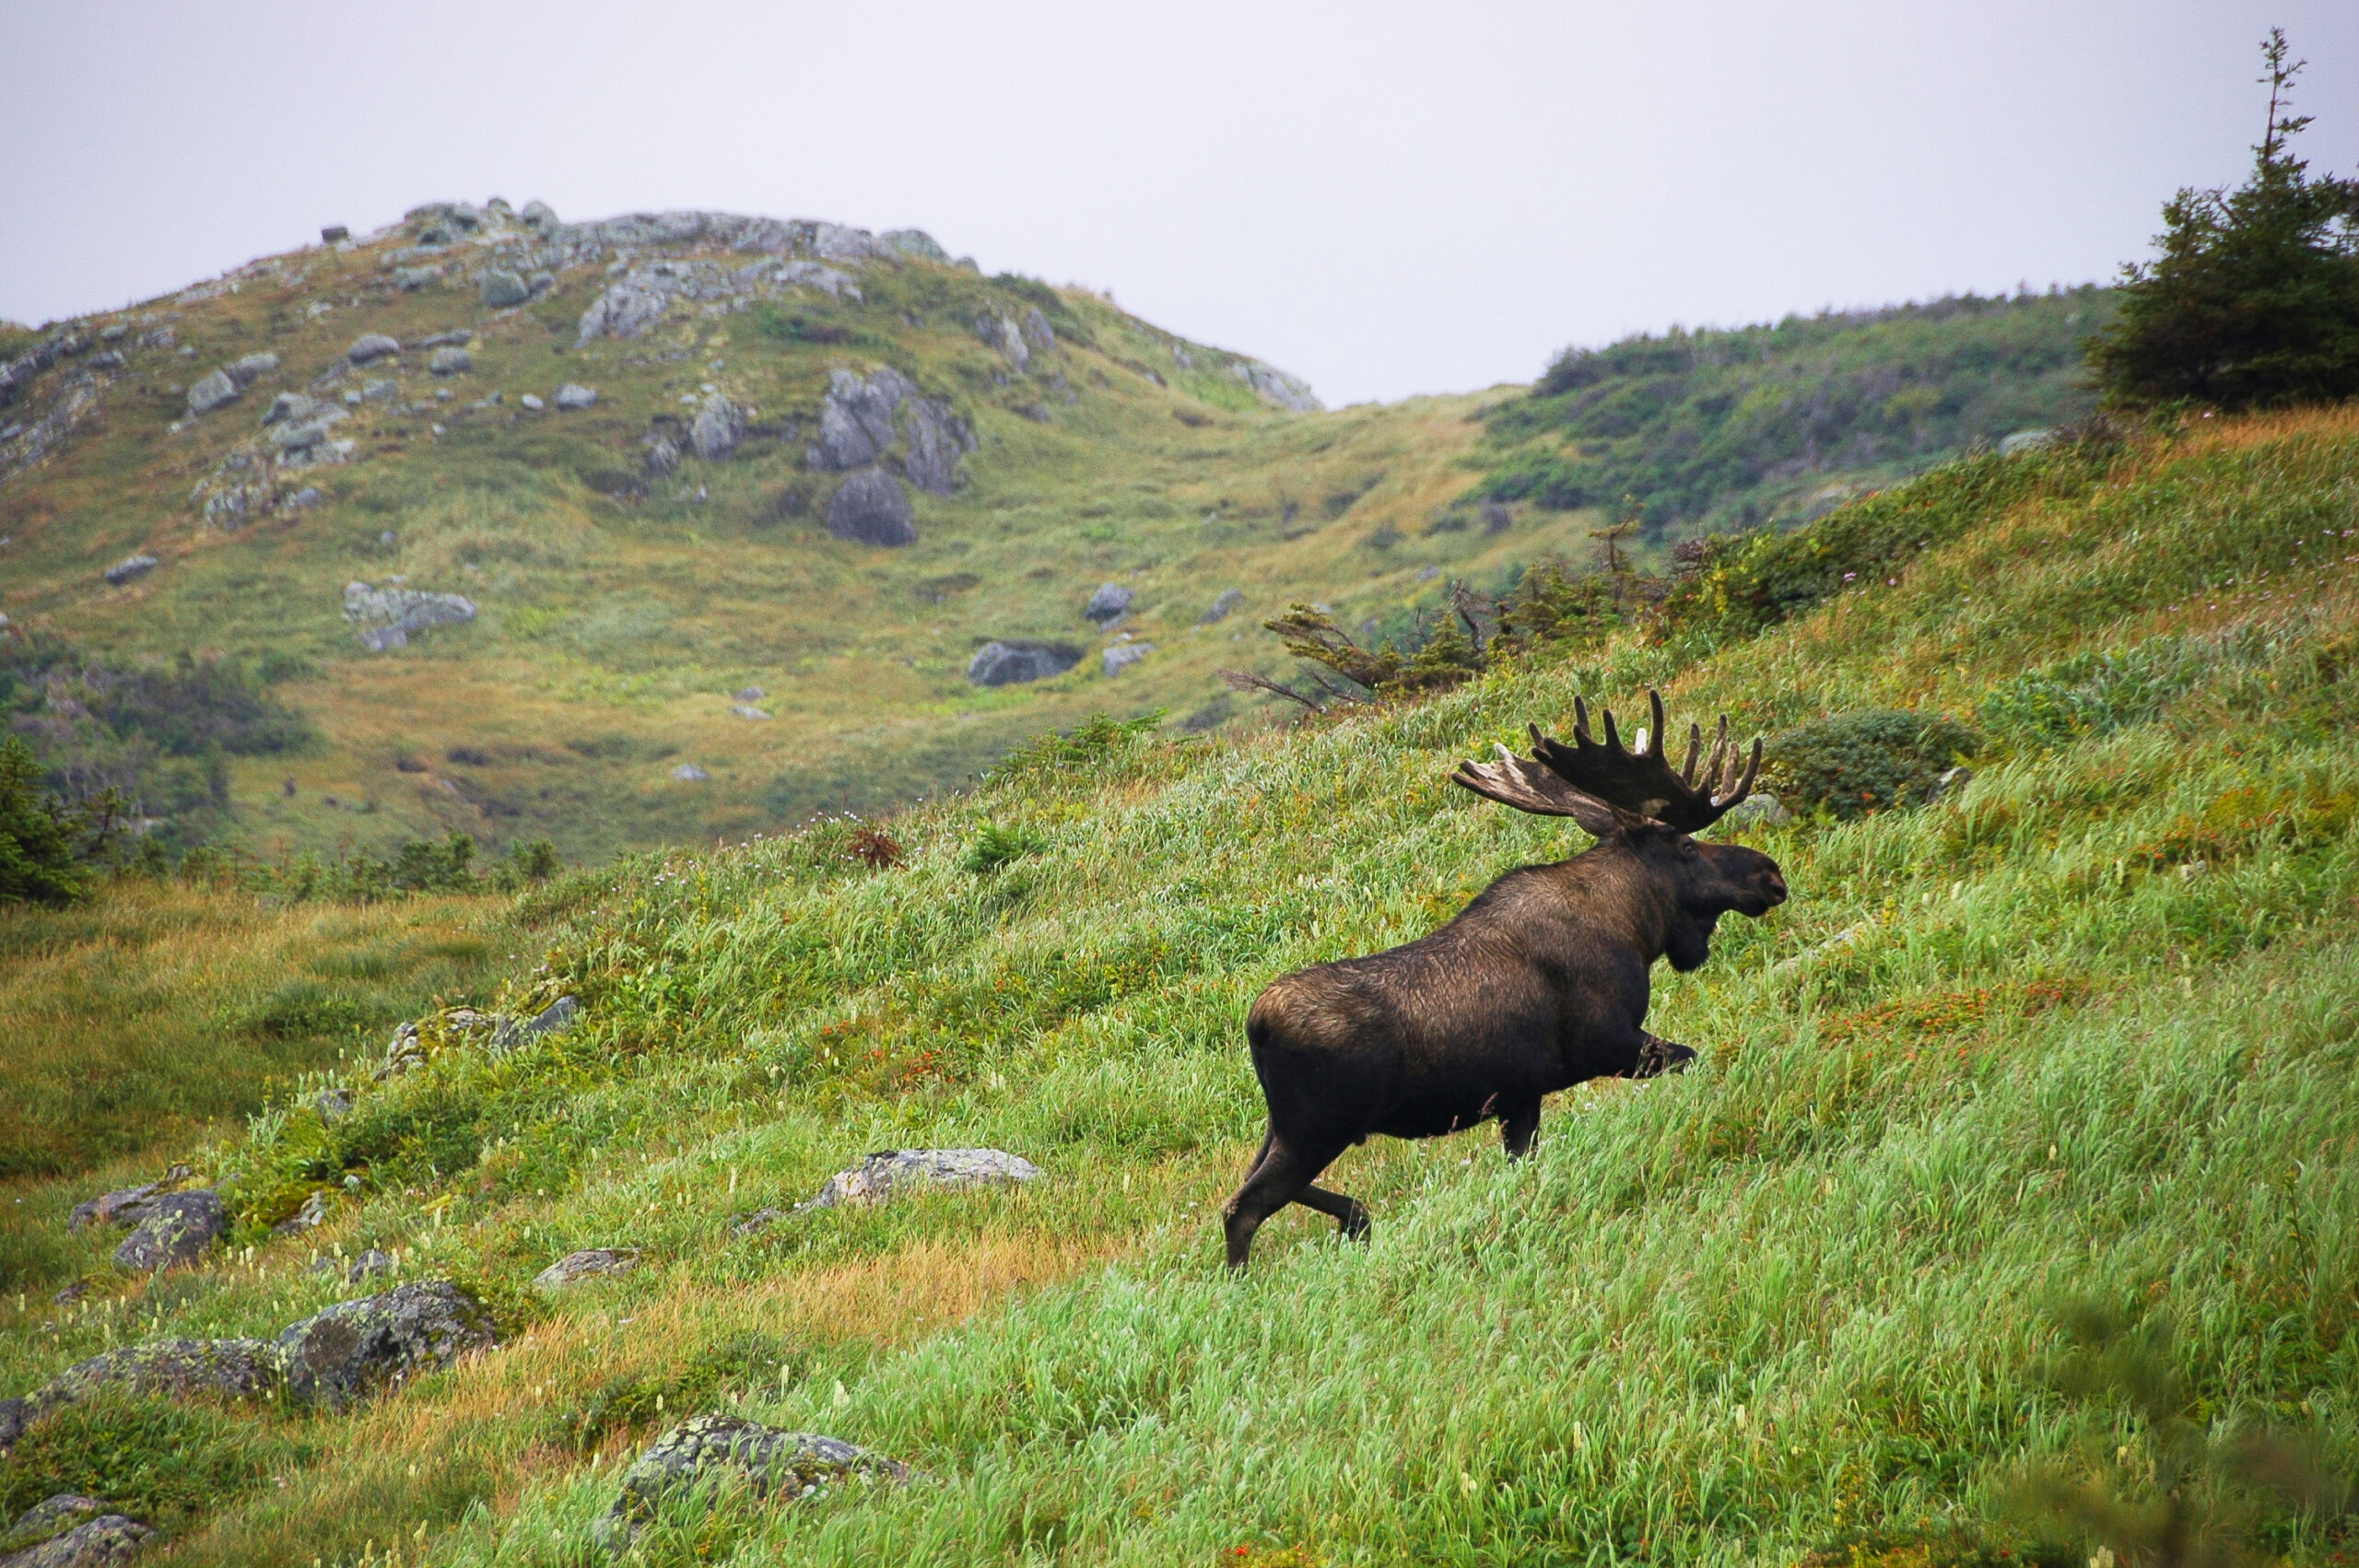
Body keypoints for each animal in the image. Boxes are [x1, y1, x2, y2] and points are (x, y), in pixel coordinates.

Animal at [1216, 693, 1783, 1263]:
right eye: (1685, 846)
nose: (1769, 874)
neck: (1635, 929)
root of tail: (1255, 1025)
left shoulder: (1520, 1094)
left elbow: (1522, 1164)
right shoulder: (1609, 1043)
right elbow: (1692, 1058)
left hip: (1288, 1128)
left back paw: (1356, 1218)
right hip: (1316, 1127)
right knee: (1243, 1207)